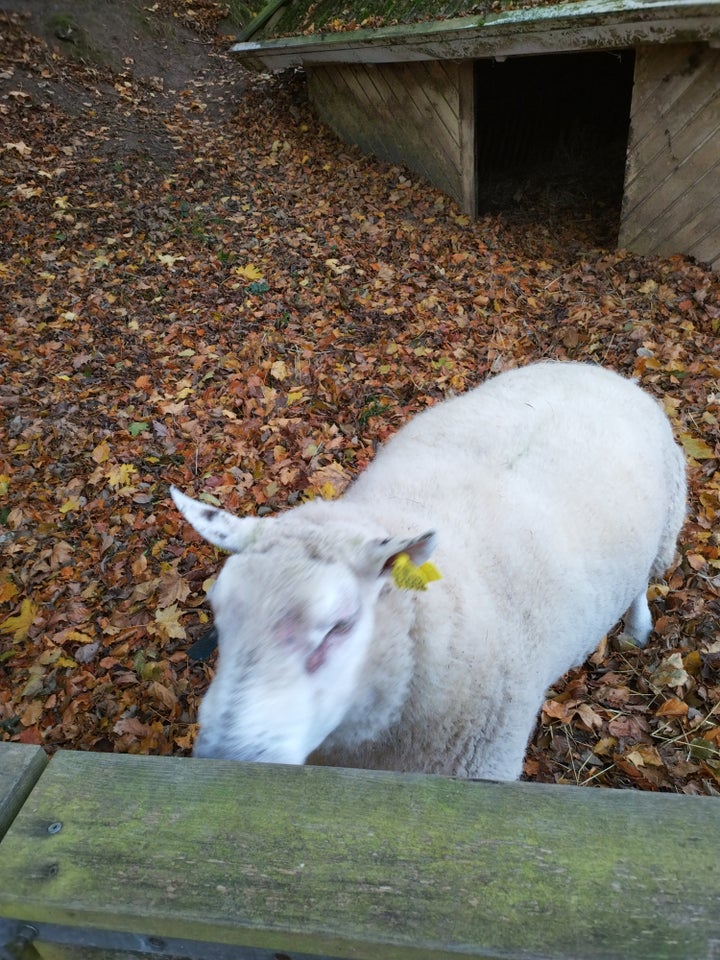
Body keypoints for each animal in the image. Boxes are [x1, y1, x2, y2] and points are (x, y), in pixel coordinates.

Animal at [170, 360, 688, 780]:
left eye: (340, 625)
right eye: (218, 615)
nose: (223, 765)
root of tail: (602, 372)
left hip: (665, 527)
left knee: (641, 583)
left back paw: (637, 629)